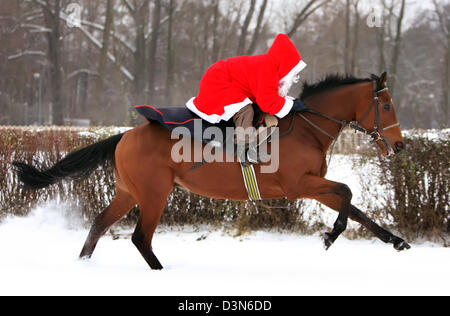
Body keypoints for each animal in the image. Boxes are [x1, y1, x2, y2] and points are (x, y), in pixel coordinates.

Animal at [12, 73, 412, 270]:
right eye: (387, 106)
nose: (399, 145)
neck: (306, 128)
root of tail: (124, 135)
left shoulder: (312, 185)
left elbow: (355, 208)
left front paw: (396, 241)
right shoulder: (300, 184)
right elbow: (347, 192)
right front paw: (330, 236)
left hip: (128, 192)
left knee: (99, 224)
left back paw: (84, 265)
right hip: (155, 193)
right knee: (140, 238)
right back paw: (160, 272)